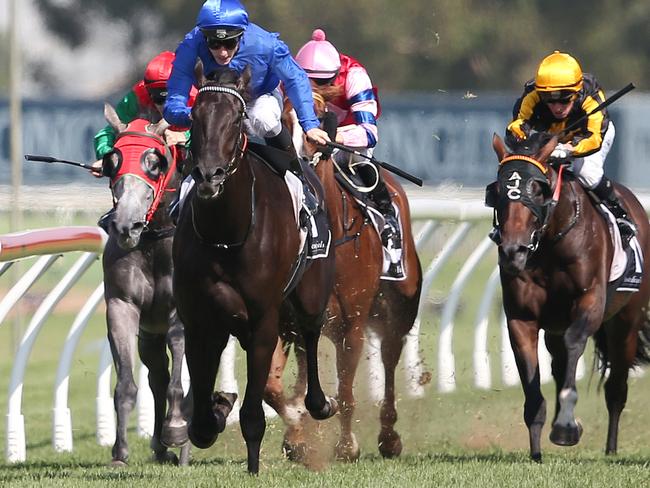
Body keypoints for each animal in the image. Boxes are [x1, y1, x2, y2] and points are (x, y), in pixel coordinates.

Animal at [170, 66, 336, 474]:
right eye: (194, 118)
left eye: (235, 119)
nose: (209, 175)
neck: (226, 233)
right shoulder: (200, 321)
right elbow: (201, 416)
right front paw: (215, 411)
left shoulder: (262, 320)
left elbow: (252, 414)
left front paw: (254, 465)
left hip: (311, 293)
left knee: (310, 333)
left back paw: (319, 403)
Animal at [264, 90, 420, 462]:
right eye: (280, 119)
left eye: (320, 116)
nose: (296, 155)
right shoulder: (285, 321)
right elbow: (272, 388)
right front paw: (298, 436)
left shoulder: (353, 323)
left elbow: (346, 393)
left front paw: (347, 445)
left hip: (399, 310)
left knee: (389, 358)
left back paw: (389, 437)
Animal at [486, 132, 648, 462]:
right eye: (497, 190)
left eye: (538, 188)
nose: (512, 252)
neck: (550, 243)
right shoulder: (522, 318)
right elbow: (533, 386)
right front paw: (536, 451)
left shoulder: (590, 303)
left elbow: (576, 342)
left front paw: (565, 428)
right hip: (555, 329)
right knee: (561, 366)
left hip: (626, 322)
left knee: (616, 387)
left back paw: (610, 448)